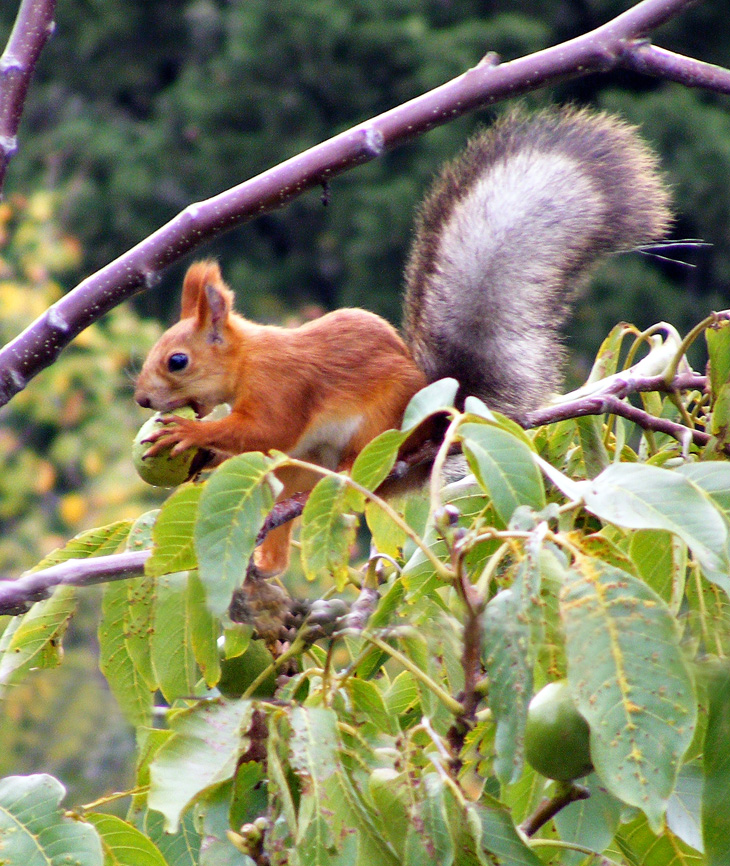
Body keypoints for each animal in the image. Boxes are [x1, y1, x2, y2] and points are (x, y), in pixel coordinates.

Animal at [134, 106, 668, 572]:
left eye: (177, 361)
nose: (142, 399)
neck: (247, 360)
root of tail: (434, 429)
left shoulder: (281, 386)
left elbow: (267, 430)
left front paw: (191, 434)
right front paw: (201, 450)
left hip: (378, 426)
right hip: (305, 463)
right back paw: (270, 557)